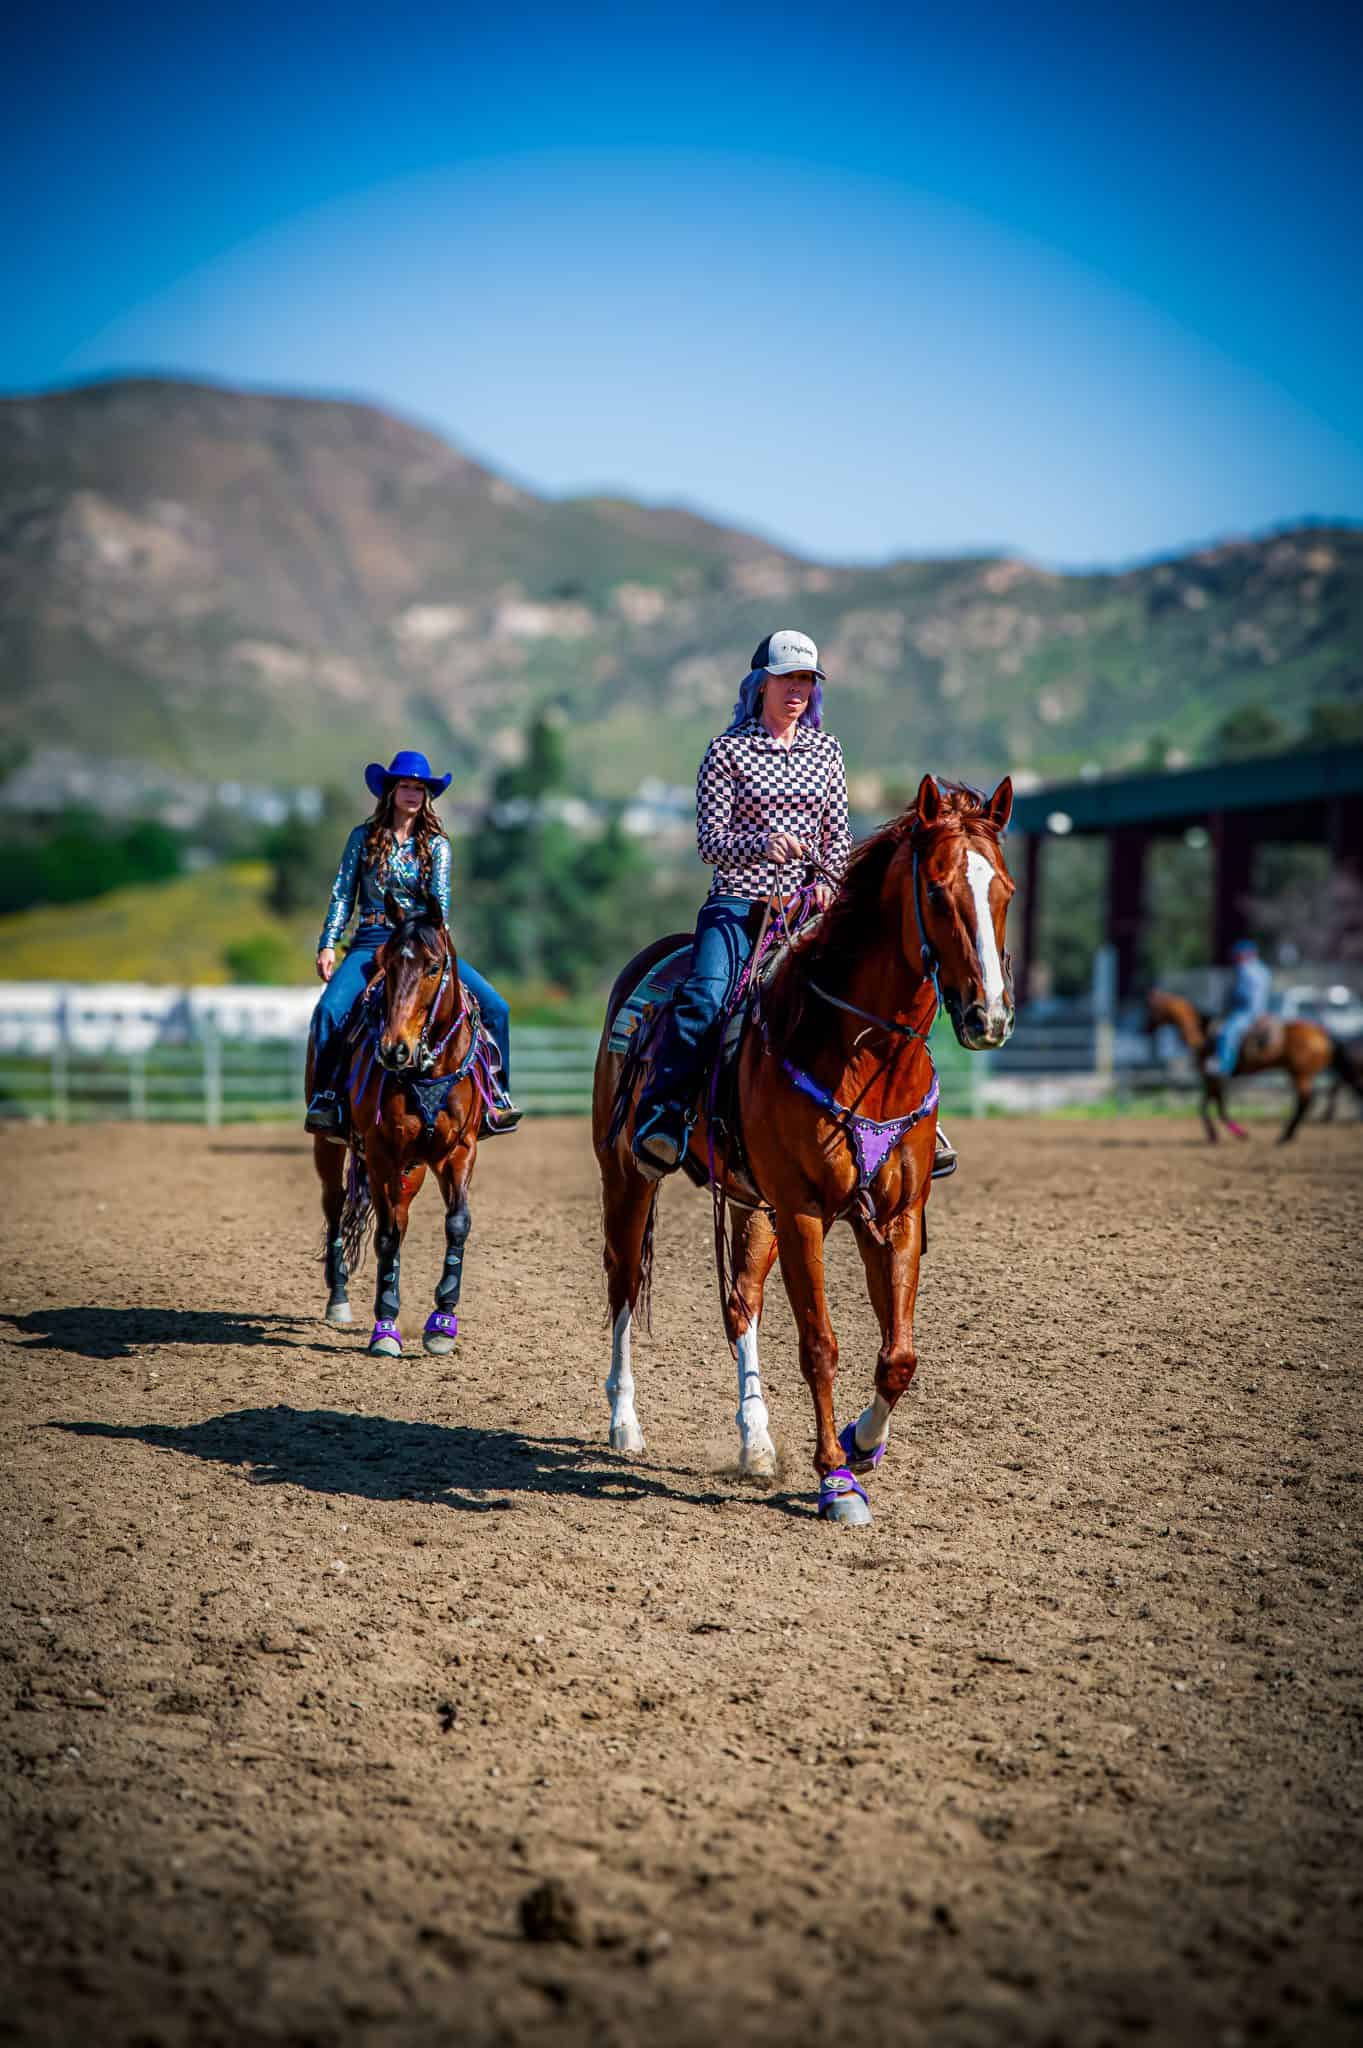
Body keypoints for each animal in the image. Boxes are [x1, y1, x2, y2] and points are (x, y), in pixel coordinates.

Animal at [310, 890, 499, 1354]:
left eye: (433, 967)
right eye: (387, 963)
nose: (394, 1049)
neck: (428, 1067)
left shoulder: (460, 1149)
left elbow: (457, 1223)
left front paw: (443, 1322)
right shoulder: (383, 1153)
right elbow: (388, 1235)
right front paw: (385, 1327)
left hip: (413, 1167)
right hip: (331, 1146)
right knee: (336, 1204)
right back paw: (338, 1299)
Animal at [592, 775, 1015, 1527]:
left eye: (1006, 893)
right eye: (937, 892)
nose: (987, 1017)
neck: (860, 1049)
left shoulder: (895, 1216)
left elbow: (898, 1355)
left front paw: (863, 1442)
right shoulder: (804, 1213)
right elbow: (820, 1345)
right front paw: (836, 1480)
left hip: (750, 1204)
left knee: (741, 1305)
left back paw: (757, 1444)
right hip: (628, 1176)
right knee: (621, 1285)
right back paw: (625, 1425)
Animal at [1144, 987, 1361, 1143]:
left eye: (1152, 1009)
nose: (1144, 1029)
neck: (1203, 1035)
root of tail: (1323, 1033)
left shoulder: (1214, 1076)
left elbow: (1215, 1107)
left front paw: (1235, 1133)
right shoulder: (1210, 1079)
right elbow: (1206, 1106)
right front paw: (1216, 1134)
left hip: (1300, 1073)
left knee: (1305, 1100)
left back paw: (1285, 1136)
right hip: (1300, 1073)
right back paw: (1289, 1134)